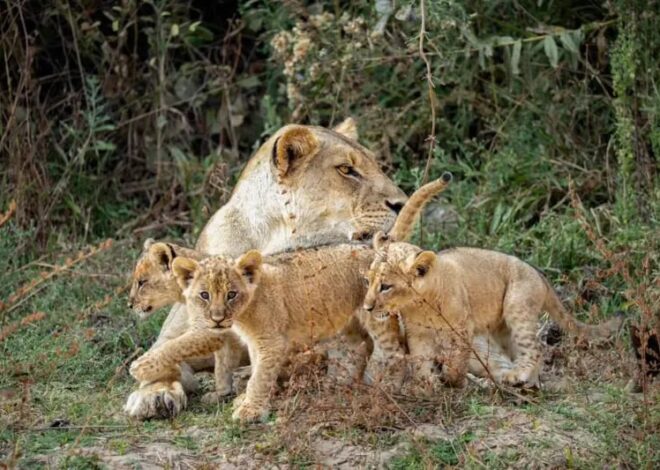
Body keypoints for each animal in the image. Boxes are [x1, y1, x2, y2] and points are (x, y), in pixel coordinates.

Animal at [124, 118, 408, 419]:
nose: (402, 203)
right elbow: (166, 352)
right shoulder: (182, 331)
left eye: (377, 166)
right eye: (346, 169)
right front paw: (154, 394)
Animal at [362, 237, 622, 388]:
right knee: (515, 352)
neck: (420, 305)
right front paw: (427, 383)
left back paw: (519, 377)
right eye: (368, 281)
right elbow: (420, 359)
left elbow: (457, 360)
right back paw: (528, 382)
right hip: (501, 328)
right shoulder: (418, 334)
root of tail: (539, 274)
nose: (367, 307)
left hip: (517, 304)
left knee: (534, 349)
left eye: (385, 286)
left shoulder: (461, 329)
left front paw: (452, 381)